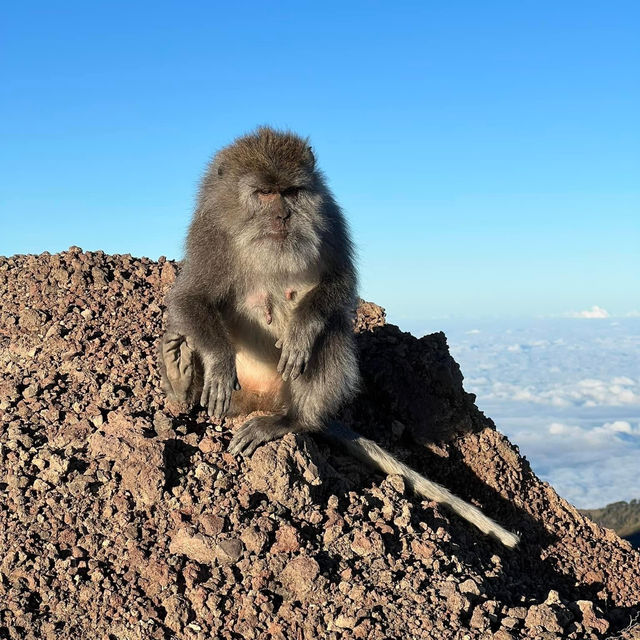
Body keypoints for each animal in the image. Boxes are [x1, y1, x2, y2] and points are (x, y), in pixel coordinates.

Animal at [159, 127, 520, 548]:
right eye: (264, 193)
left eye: (291, 192)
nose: (282, 215)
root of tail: (264, 402)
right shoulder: (209, 235)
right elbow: (190, 298)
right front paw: (217, 362)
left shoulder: (330, 217)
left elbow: (339, 280)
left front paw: (301, 330)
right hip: (239, 396)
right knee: (189, 338)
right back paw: (181, 376)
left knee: (328, 332)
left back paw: (291, 420)